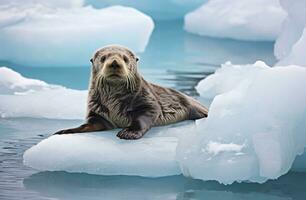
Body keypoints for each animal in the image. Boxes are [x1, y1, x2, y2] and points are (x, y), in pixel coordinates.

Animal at [54, 45, 208, 139]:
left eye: (125, 58)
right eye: (103, 58)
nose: (114, 62)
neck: (113, 102)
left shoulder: (148, 103)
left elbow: (143, 118)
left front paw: (129, 132)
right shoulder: (97, 112)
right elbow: (90, 124)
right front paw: (65, 131)